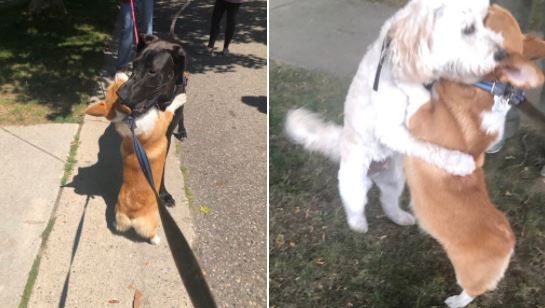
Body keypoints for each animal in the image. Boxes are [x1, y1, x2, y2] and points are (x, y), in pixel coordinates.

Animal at [85, 73, 187, 244]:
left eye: (116, 84)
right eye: (121, 84)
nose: (118, 72)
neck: (129, 119)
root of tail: (130, 215)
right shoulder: (162, 119)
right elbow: (170, 108)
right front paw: (180, 97)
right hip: (152, 220)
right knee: (149, 232)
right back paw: (156, 239)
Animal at [286, 0, 504, 232]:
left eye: (484, 21)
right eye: (468, 29)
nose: (502, 54)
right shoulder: (391, 130)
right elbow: (428, 147)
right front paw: (459, 162)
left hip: (395, 179)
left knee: (388, 201)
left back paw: (400, 217)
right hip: (354, 183)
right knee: (354, 206)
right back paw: (359, 225)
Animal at [402, 5, 544, 308]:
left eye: (485, 20)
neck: (484, 88)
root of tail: (509, 241)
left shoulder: (421, 120)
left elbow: (419, 98)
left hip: (468, 275)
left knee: (472, 291)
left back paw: (455, 300)